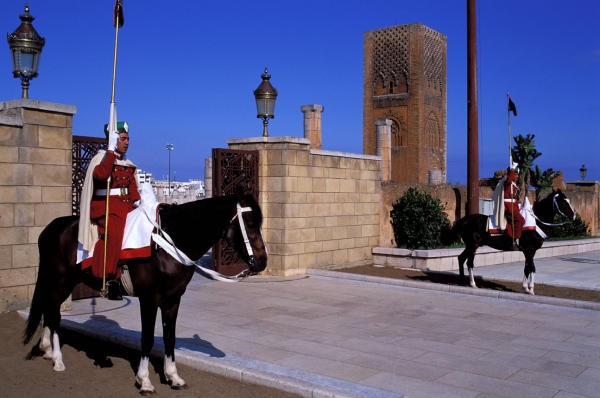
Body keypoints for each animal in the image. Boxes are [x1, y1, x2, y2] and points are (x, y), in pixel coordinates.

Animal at [23, 194, 266, 394]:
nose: (262, 262)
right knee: (53, 313)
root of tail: (53, 226)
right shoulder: (149, 299)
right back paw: (57, 359)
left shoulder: (173, 300)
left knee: (49, 310)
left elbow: (169, 337)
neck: (170, 242)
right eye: (250, 223)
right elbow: (147, 338)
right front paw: (145, 381)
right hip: (60, 281)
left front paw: (173, 377)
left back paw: (47, 349)